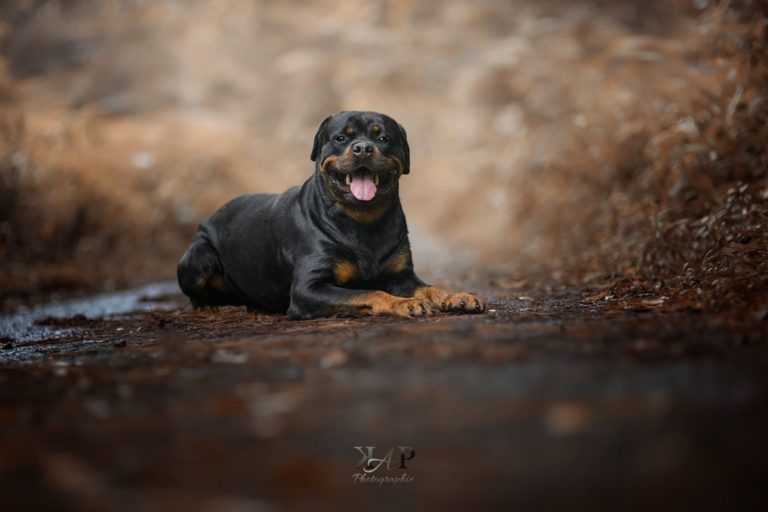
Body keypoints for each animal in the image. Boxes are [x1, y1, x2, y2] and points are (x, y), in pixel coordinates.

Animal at [177, 111, 484, 320]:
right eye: (341, 138)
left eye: (383, 138)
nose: (363, 148)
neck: (363, 221)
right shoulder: (309, 289)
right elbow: (368, 292)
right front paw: (402, 303)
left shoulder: (402, 276)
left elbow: (430, 288)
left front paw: (456, 296)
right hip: (198, 260)